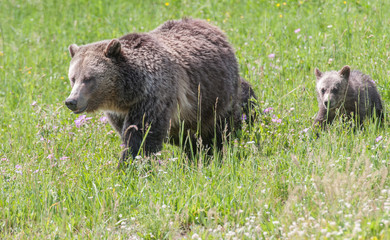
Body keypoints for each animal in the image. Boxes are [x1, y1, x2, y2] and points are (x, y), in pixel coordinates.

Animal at [65, 18, 256, 165]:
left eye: (88, 78)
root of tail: (213, 28)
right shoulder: (119, 113)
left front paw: (130, 166)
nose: (71, 101)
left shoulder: (154, 96)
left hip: (215, 94)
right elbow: (129, 132)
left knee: (224, 125)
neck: (127, 93)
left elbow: (141, 135)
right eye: (73, 78)